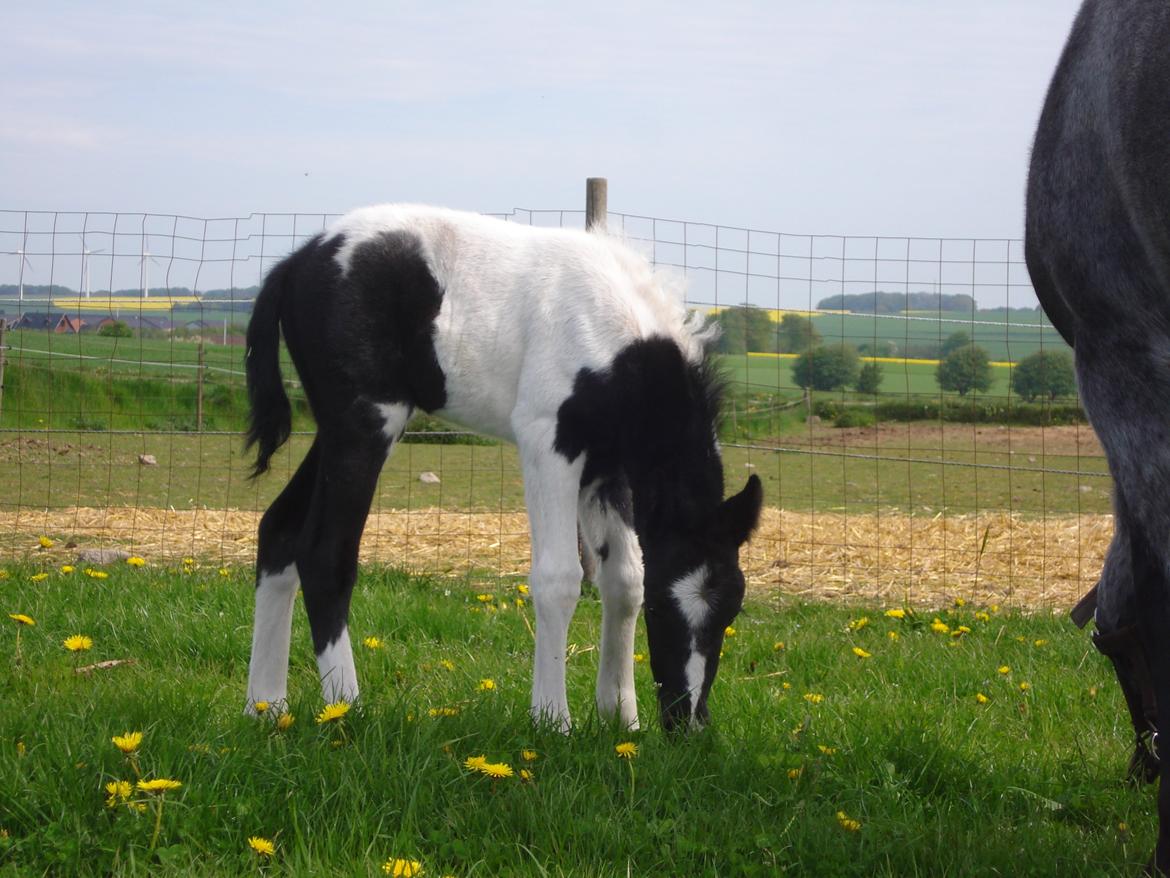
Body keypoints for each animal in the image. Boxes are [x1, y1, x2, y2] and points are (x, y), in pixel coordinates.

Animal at [242, 206, 762, 735]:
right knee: (325, 553)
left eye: (729, 612)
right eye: (664, 606)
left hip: (337, 428)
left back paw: (266, 708)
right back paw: (347, 710)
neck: (618, 338)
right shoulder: (548, 443)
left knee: (280, 530)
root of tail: (298, 261)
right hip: (365, 421)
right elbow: (559, 578)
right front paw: (553, 723)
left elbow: (623, 579)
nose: (687, 722)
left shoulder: (606, 469)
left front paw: (620, 721)